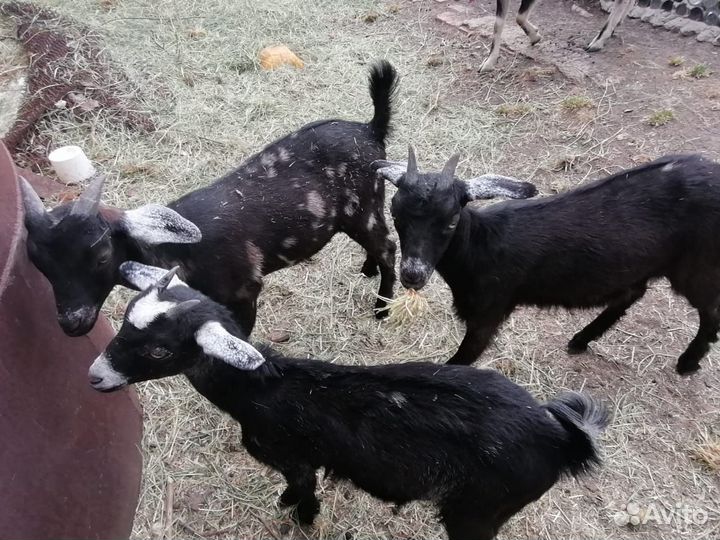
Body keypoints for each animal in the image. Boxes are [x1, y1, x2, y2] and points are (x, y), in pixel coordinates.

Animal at [19, 60, 399, 337]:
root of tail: (371, 128)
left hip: (363, 205)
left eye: (100, 256)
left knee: (388, 245)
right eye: (39, 264)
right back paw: (367, 270)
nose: (72, 323)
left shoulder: (244, 289)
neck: (180, 249)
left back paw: (382, 308)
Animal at [89, 262, 610, 540]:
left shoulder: (294, 458)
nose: (95, 377)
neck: (263, 389)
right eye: (126, 316)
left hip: (480, 509)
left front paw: (300, 519)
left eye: (159, 350)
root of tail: (561, 439)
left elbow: (303, 492)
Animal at [376, 149, 720, 375]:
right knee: (632, 293)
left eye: (450, 221)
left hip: (698, 267)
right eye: (396, 215)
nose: (412, 275)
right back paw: (581, 340)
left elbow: (462, 359)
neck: (480, 246)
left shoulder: (490, 310)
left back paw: (688, 363)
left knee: (710, 311)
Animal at [478, 0, 636, 72]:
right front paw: (489, 62)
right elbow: (498, 25)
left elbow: (520, 16)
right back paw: (618, 23)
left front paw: (535, 36)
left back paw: (598, 41)